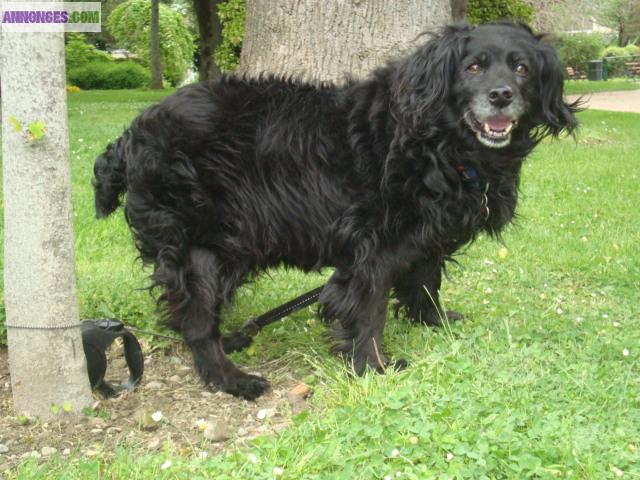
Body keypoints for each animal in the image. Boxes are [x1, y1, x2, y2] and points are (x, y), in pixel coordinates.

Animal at [95, 22, 580, 400]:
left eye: (521, 68)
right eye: (473, 66)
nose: (501, 95)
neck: (437, 140)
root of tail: (130, 136)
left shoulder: (423, 237)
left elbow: (426, 282)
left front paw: (435, 322)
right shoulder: (370, 247)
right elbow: (368, 311)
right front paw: (374, 368)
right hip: (203, 247)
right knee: (196, 321)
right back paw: (232, 379)